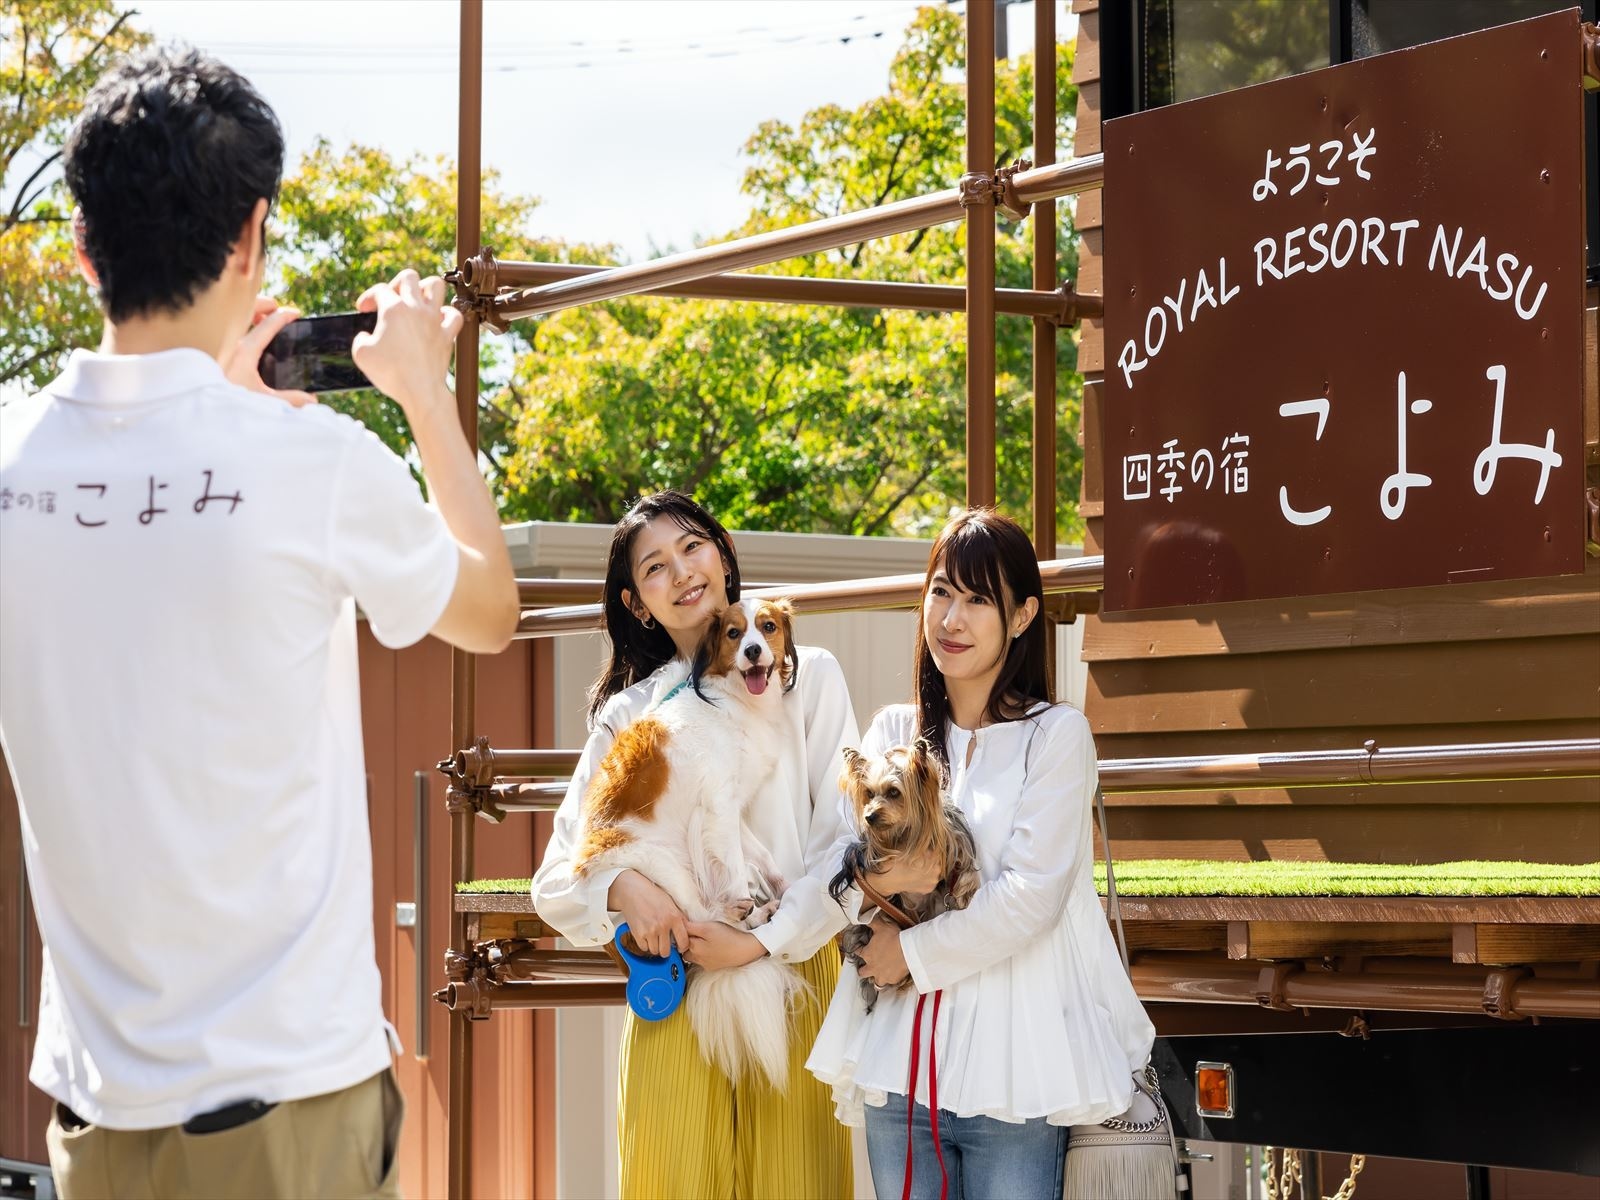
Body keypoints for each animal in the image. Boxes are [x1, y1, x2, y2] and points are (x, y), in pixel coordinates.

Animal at [572, 598, 800, 1088]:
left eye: (767, 627)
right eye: (734, 634)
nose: (754, 651)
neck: (731, 702)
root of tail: (585, 861)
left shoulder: (730, 807)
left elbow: (761, 856)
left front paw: (783, 889)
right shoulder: (719, 803)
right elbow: (735, 867)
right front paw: (750, 902)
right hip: (664, 865)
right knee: (698, 915)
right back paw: (747, 916)